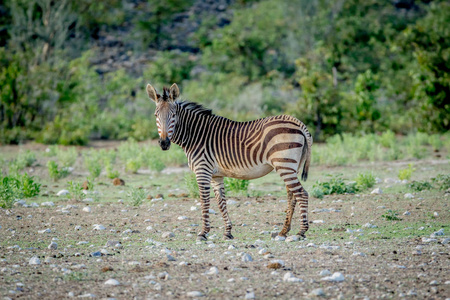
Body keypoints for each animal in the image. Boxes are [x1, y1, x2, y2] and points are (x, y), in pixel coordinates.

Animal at [148, 82, 312, 241]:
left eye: (173, 115)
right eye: (156, 115)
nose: (164, 143)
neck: (196, 135)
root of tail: (297, 122)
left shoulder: (202, 171)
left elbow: (204, 200)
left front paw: (203, 233)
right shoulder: (216, 175)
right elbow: (221, 202)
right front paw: (227, 232)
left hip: (284, 164)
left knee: (301, 194)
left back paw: (301, 232)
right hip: (291, 166)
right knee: (292, 196)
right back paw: (284, 231)